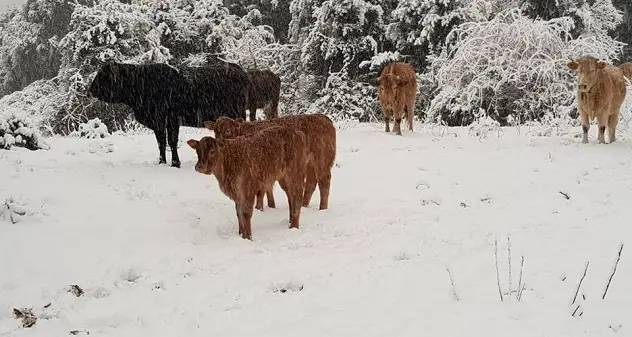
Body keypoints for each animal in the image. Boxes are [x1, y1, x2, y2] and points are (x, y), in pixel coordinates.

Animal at [86, 60, 249, 168]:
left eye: (103, 76)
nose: (90, 91)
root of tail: (238, 69)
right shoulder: (158, 122)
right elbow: (161, 142)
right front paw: (161, 162)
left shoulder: (171, 119)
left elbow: (171, 141)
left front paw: (175, 163)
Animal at [206, 114, 336, 211]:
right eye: (216, 131)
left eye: (228, 130)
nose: (220, 142)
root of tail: (322, 117)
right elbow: (268, 187)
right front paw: (271, 205)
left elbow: (261, 191)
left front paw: (259, 208)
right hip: (309, 164)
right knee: (311, 183)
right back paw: (304, 205)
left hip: (322, 160)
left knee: (324, 181)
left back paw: (322, 208)